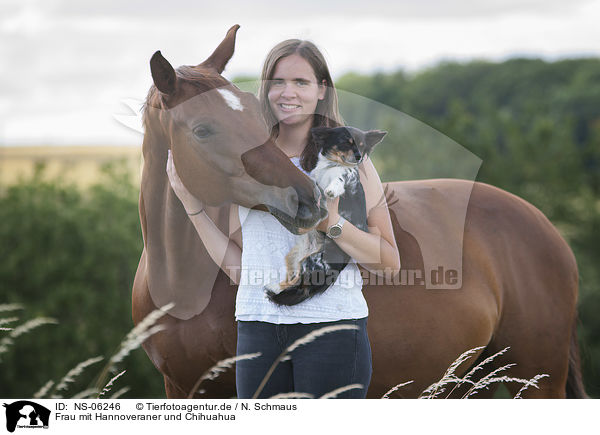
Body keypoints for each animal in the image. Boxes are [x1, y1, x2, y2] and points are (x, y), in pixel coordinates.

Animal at [264, 126, 386, 306]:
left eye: (362, 146)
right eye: (346, 142)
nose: (358, 157)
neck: (332, 165)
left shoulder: (348, 177)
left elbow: (342, 177)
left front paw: (331, 190)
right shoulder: (315, 177)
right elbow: (311, 180)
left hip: (313, 263)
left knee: (300, 282)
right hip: (294, 258)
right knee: (293, 279)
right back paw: (275, 287)